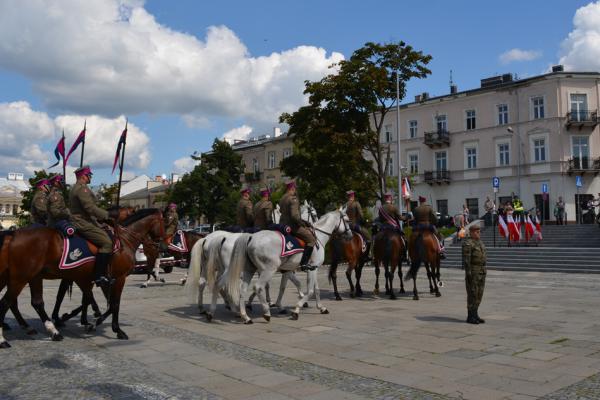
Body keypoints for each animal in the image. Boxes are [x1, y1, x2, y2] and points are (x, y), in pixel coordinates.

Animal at [0, 208, 164, 348]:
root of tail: (13, 235)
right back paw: (4, 339)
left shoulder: (88, 278)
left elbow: (91, 300)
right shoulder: (118, 278)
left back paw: (51, 331)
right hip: (21, 277)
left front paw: (85, 320)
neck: (124, 239)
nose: (161, 246)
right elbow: (113, 304)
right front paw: (113, 329)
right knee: (6, 302)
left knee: (35, 302)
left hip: (31, 276)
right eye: (165, 222)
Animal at [223, 208, 352, 324]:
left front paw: (321, 307)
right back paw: (266, 312)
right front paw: (296, 310)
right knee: (258, 287)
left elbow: (313, 289)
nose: (350, 235)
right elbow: (310, 291)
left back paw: (245, 317)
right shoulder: (312, 268)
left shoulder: (302, 269)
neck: (318, 237)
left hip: (250, 270)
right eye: (347, 220)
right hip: (269, 270)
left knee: (242, 290)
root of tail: (251, 237)